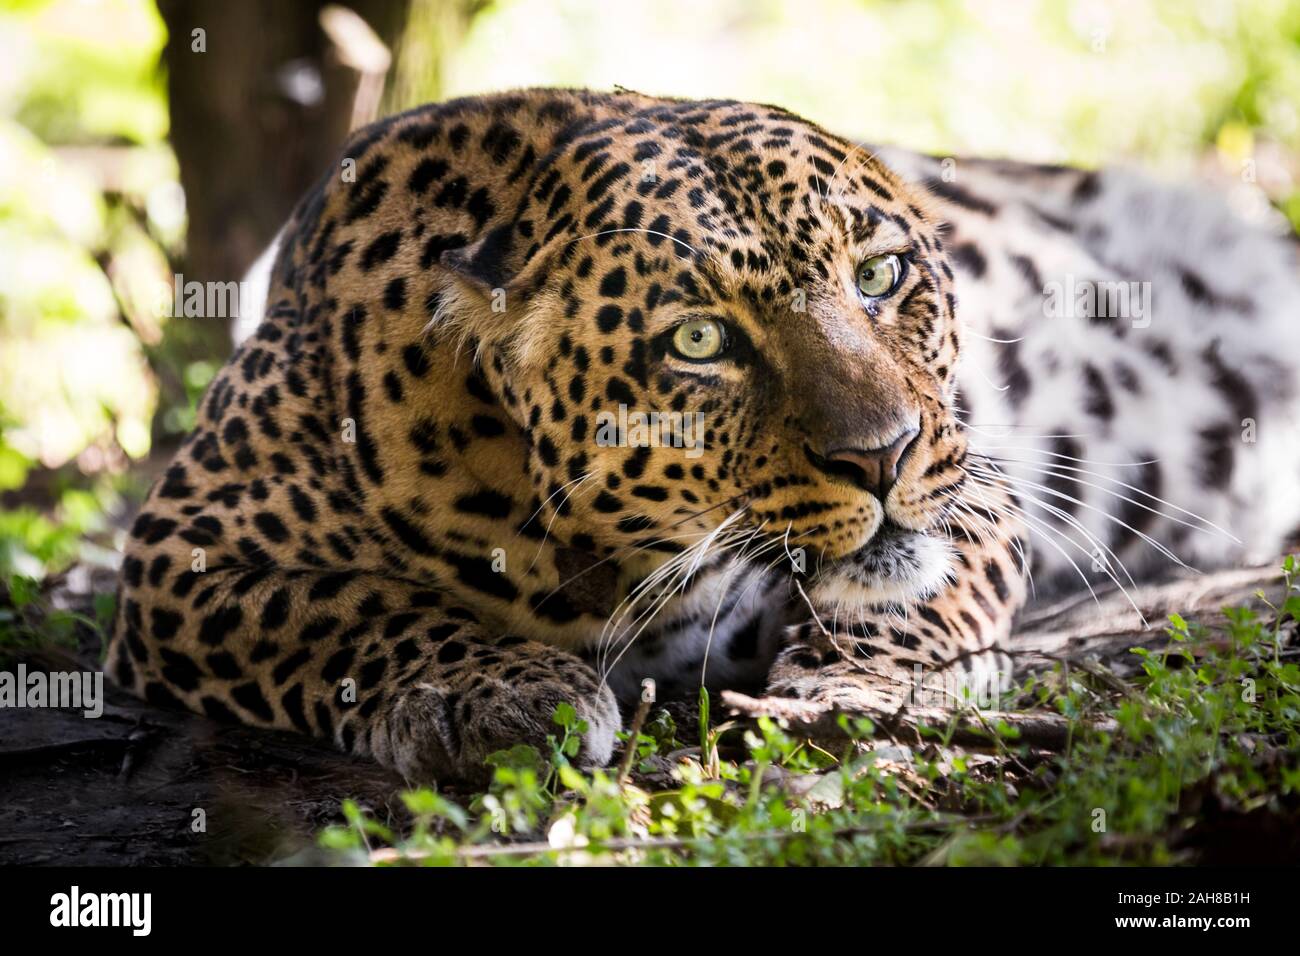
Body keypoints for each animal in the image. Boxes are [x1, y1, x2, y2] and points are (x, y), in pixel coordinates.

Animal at [106, 85, 1300, 780]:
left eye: (880, 276)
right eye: (698, 340)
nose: (883, 454)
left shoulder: (980, 479)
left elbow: (912, 594)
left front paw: (858, 691)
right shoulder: (178, 551)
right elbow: (337, 606)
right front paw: (487, 691)